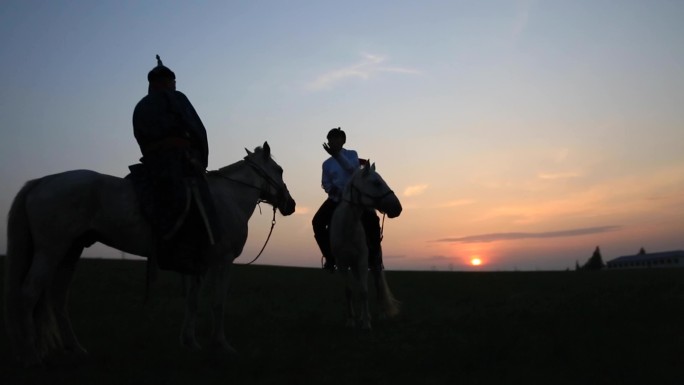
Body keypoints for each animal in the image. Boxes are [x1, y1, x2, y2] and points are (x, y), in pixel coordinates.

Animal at [4, 142, 296, 366]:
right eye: (279, 170)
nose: (290, 205)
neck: (228, 198)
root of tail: (43, 181)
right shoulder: (222, 261)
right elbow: (217, 303)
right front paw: (222, 345)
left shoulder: (196, 265)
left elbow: (192, 302)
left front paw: (190, 343)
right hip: (51, 250)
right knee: (29, 293)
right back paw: (31, 356)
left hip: (71, 251)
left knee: (57, 298)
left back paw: (76, 349)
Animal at [330, 161, 400, 328]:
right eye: (376, 183)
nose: (398, 208)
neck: (347, 228)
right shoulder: (342, 263)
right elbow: (349, 291)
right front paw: (351, 320)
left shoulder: (362, 260)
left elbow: (364, 291)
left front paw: (367, 323)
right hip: (355, 265)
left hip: (374, 261)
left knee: (377, 285)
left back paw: (381, 314)